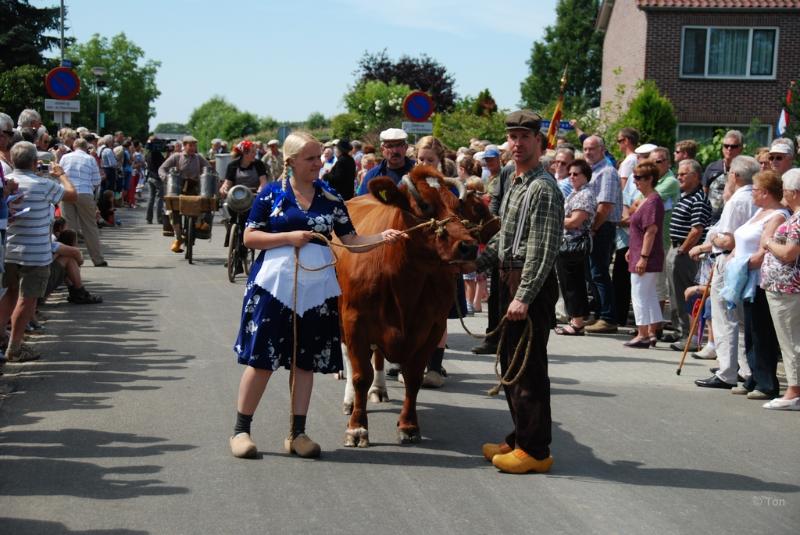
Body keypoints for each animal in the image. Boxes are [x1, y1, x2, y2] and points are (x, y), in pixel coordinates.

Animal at [340, 168, 478, 448]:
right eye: (424, 205)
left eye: (458, 205)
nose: (468, 246)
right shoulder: (354, 321)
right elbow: (360, 375)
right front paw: (357, 428)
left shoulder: (432, 327)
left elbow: (414, 377)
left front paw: (409, 425)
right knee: (348, 358)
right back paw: (349, 401)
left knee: (378, 358)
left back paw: (379, 389)